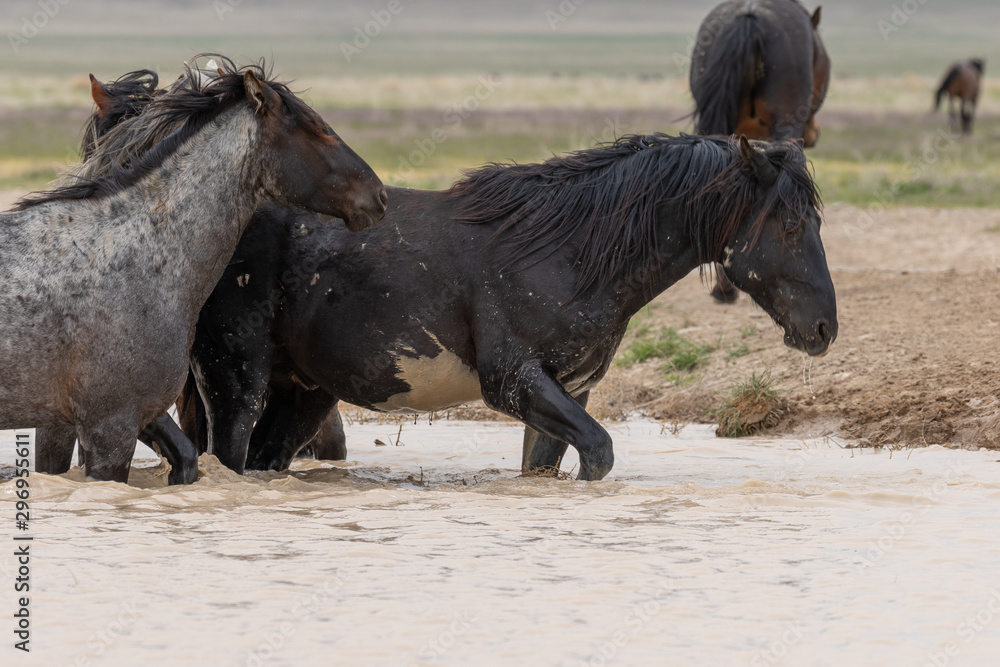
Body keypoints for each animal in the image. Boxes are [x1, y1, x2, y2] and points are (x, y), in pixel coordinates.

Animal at [165, 133, 836, 481]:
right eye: (791, 223)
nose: (824, 328)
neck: (569, 252)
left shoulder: (567, 389)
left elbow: (551, 466)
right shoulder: (514, 382)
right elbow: (600, 452)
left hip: (303, 393)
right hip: (236, 383)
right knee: (228, 456)